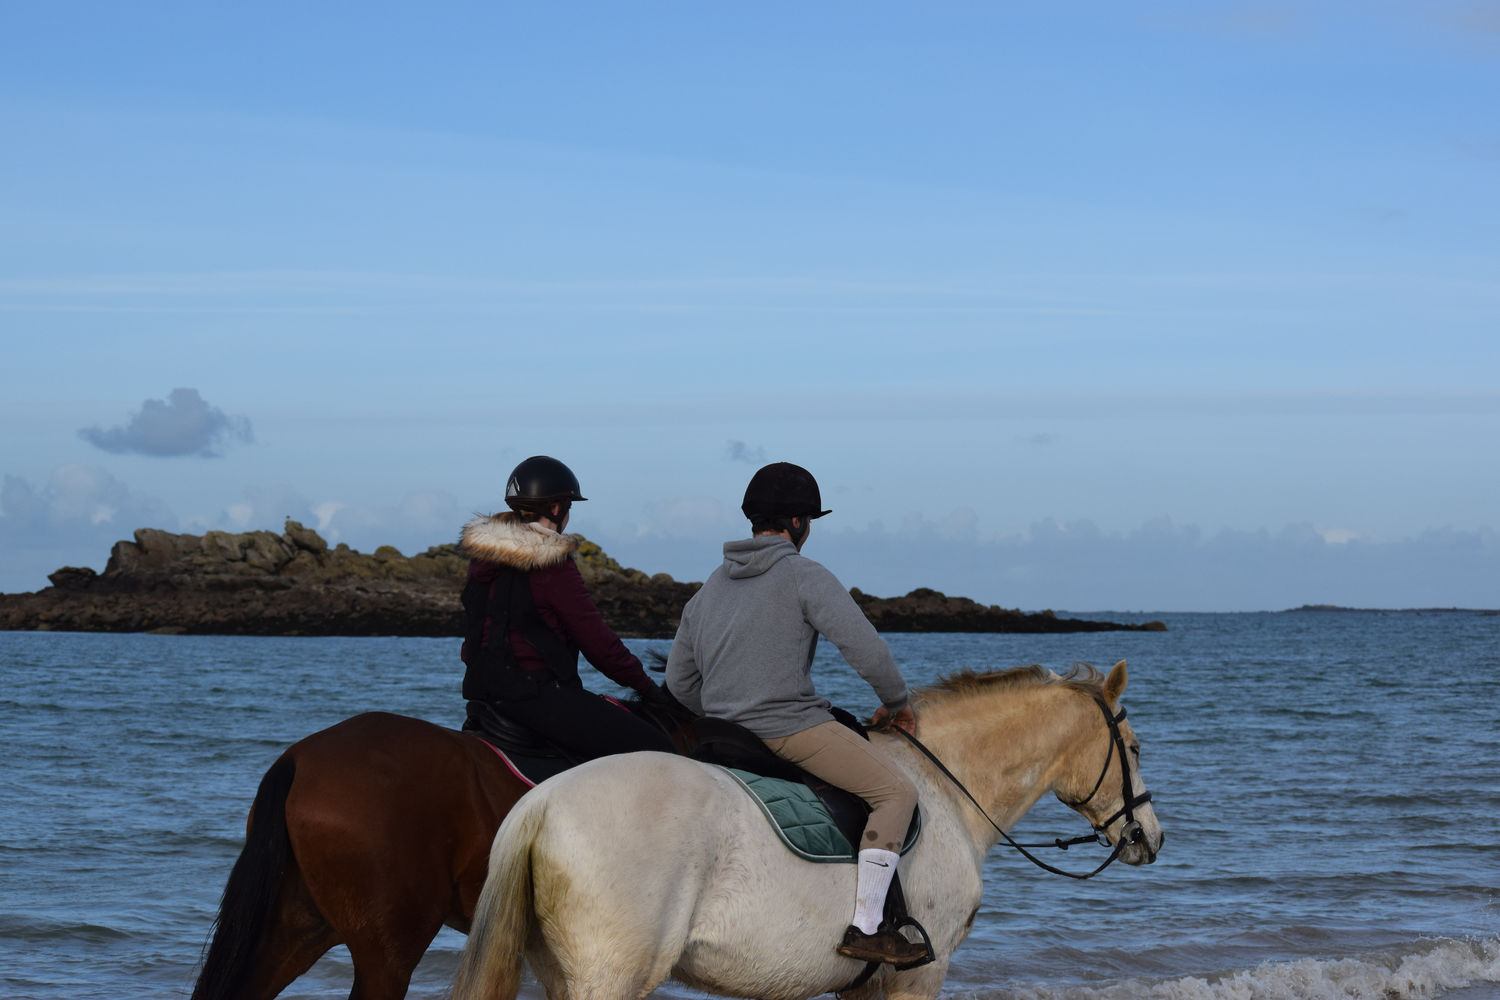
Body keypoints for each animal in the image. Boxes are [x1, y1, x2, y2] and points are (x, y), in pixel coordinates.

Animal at [450, 659, 1164, 1000]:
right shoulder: (917, 979)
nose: (1148, 838)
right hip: (610, 979)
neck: (946, 785)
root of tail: (543, 802)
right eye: (1132, 747)